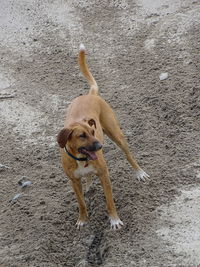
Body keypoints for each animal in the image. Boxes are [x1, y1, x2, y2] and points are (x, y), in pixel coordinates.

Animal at [57, 45, 149, 231]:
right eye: (82, 135)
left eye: (93, 132)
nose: (99, 146)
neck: (81, 158)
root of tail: (90, 94)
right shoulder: (73, 181)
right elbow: (81, 203)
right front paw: (82, 219)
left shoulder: (104, 175)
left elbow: (110, 201)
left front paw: (114, 220)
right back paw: (88, 184)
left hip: (117, 135)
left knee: (129, 156)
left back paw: (139, 172)